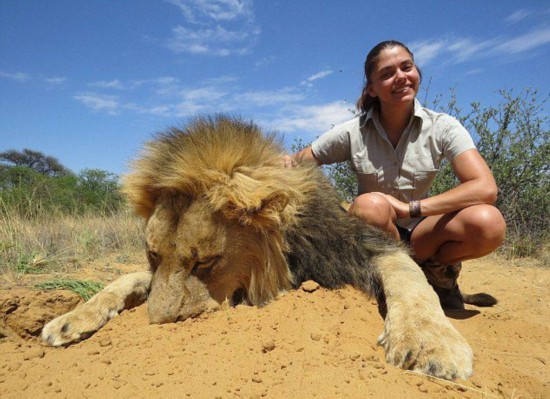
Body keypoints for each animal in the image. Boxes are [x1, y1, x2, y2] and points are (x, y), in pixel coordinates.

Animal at [41, 116, 476, 382]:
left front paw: (429, 342)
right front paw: (69, 320)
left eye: (206, 262)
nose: (159, 325)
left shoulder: (357, 244)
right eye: (152, 255)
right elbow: (125, 278)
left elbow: (408, 274)